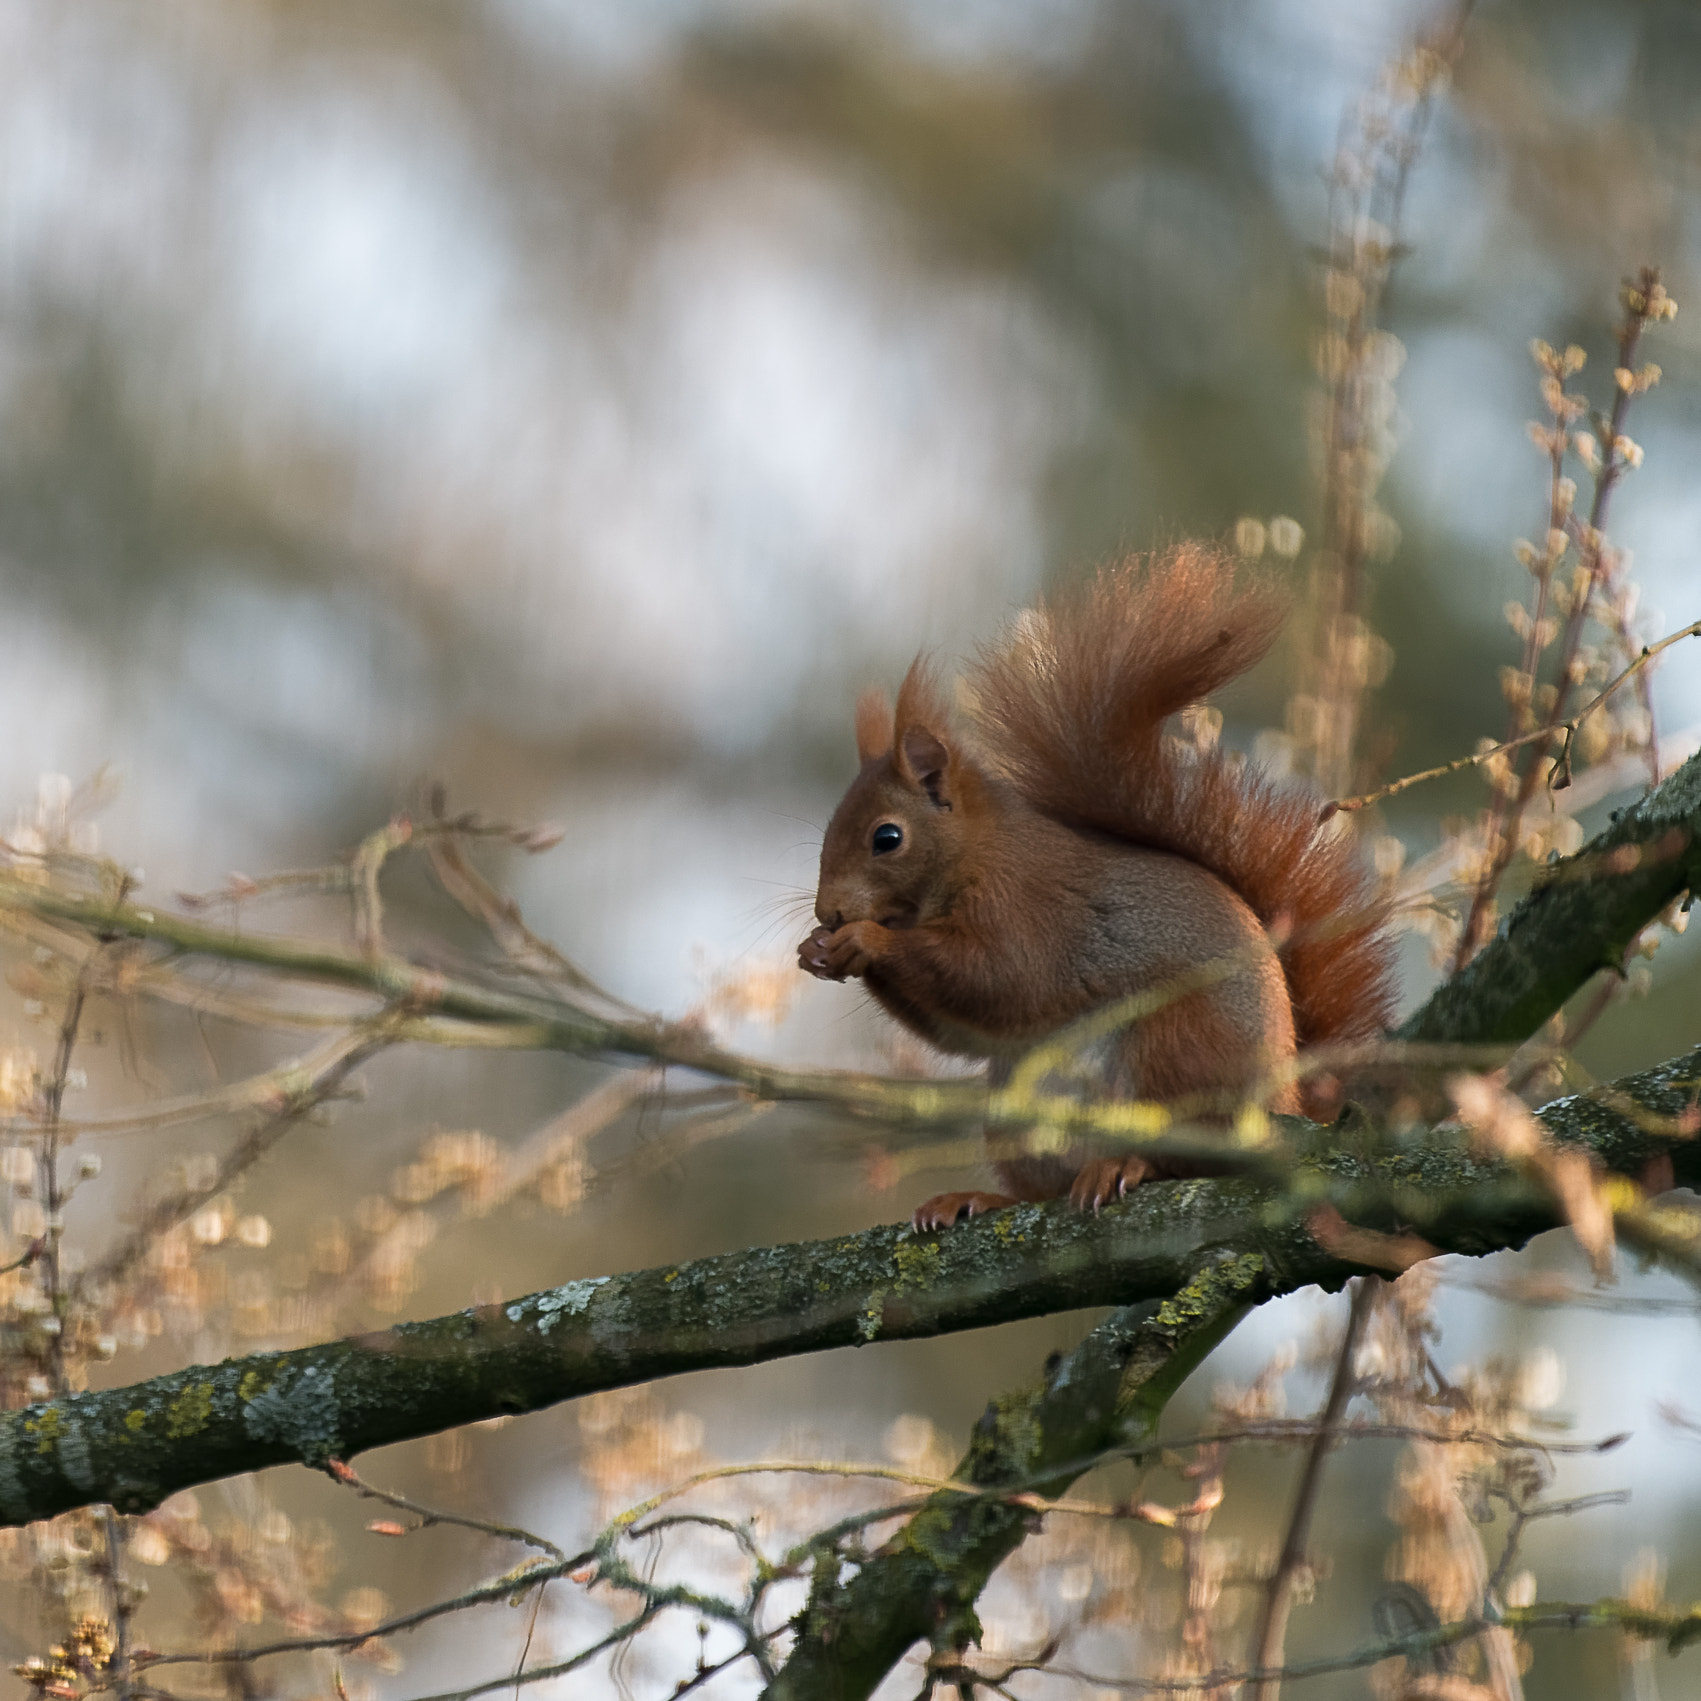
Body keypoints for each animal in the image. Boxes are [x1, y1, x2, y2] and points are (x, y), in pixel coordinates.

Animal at [796, 540, 1394, 1224]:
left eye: (887, 838)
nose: (829, 911)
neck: (973, 854)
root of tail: (1287, 1106)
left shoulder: (1025, 906)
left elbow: (995, 978)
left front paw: (867, 940)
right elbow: (961, 1031)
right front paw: (817, 949)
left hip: (1179, 1048)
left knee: (1188, 1156)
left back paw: (1124, 1164)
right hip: (1017, 1113)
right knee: (1043, 1189)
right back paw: (980, 1196)